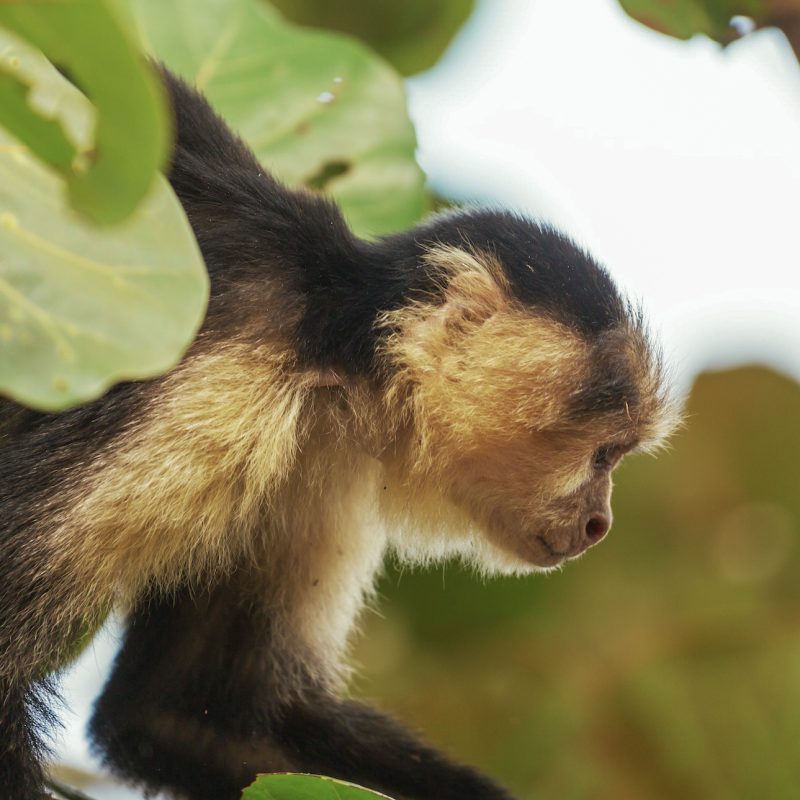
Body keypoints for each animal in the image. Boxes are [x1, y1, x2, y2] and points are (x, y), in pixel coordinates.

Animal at [0, 67, 677, 800]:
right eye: (603, 454)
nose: (600, 522)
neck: (333, 351)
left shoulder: (317, 458)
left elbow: (183, 714)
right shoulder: (211, 399)